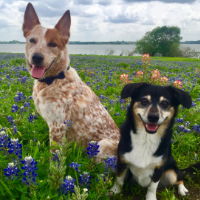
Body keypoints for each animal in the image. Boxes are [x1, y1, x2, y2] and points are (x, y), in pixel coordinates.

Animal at [22, 3, 119, 162]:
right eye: (32, 40)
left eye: (53, 44)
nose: (36, 57)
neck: (52, 80)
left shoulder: (57, 125)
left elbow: (54, 156)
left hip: (103, 145)